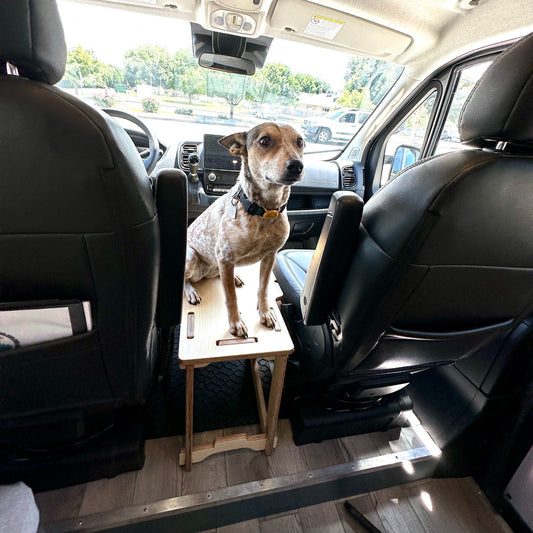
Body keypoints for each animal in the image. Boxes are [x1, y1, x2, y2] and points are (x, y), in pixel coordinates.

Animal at [185, 121, 306, 336]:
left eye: (300, 142)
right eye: (264, 141)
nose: (296, 165)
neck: (264, 211)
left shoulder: (270, 256)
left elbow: (263, 289)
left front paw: (265, 313)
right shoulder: (225, 257)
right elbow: (231, 298)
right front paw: (236, 323)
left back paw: (234, 277)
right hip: (191, 257)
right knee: (184, 279)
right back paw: (191, 291)